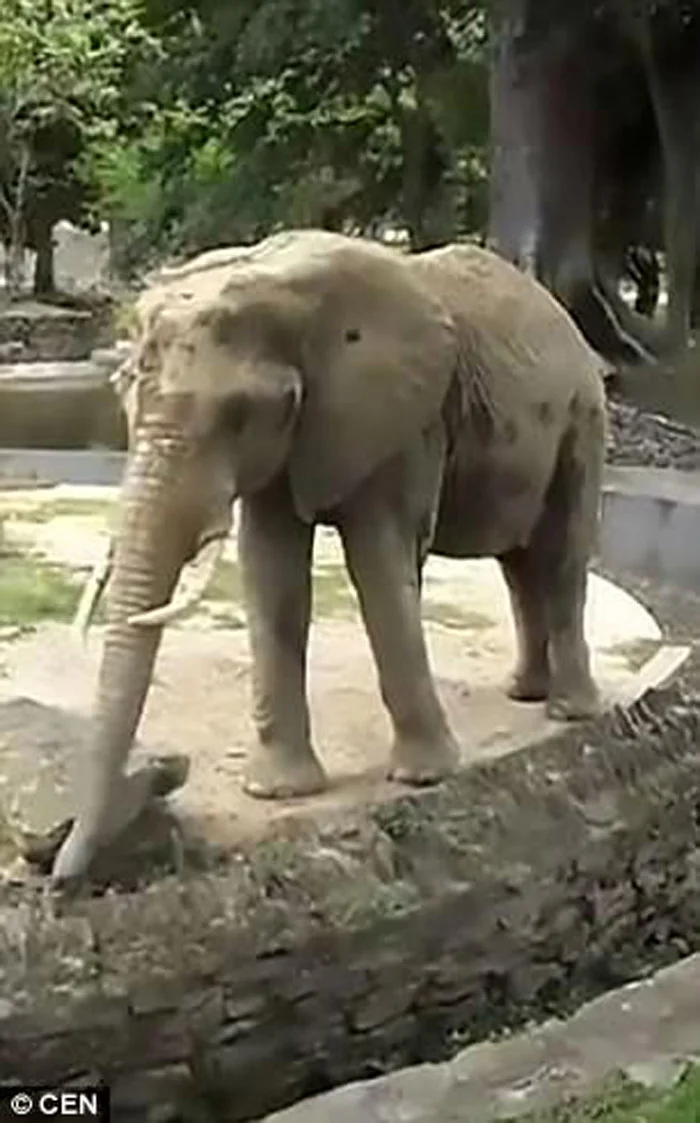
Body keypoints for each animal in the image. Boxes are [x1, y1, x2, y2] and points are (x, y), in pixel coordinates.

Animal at [51, 228, 608, 884]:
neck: (280, 284)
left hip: (582, 419)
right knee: (518, 563)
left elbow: (381, 561)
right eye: (124, 394)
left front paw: (424, 778)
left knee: (561, 555)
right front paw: (279, 792)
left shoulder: (402, 424)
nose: (59, 876)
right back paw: (524, 692)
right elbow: (272, 572)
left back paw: (570, 713)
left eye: (239, 415)